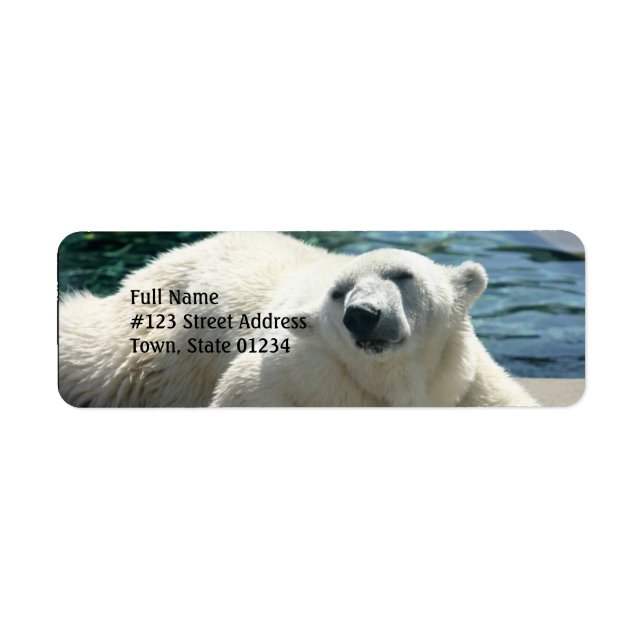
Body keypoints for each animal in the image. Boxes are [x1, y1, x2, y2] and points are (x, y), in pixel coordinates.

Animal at [58, 232, 538, 407]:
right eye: (338, 293)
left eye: (402, 275)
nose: (362, 316)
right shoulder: (303, 374)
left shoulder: (461, 382)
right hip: (154, 342)